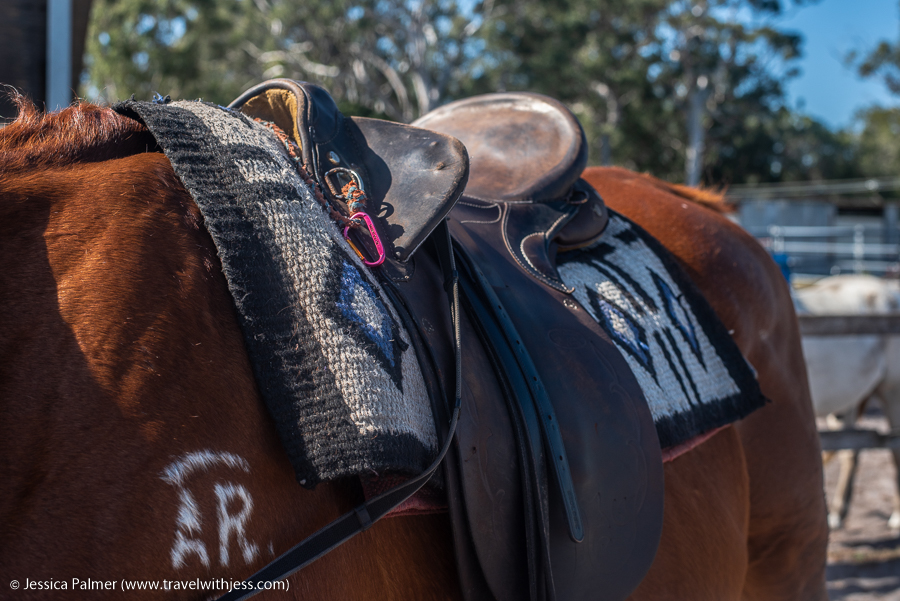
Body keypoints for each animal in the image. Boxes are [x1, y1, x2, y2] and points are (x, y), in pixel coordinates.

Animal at [794, 274, 900, 530]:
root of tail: (892, 289)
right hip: (848, 401)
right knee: (851, 450)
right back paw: (836, 513)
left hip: (892, 391)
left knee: (894, 449)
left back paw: (896, 516)